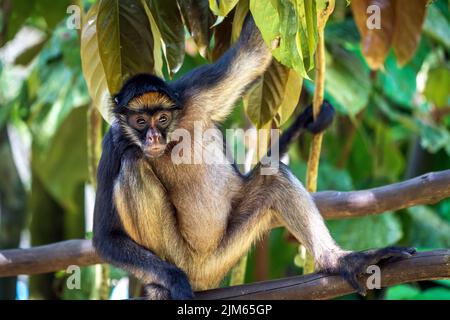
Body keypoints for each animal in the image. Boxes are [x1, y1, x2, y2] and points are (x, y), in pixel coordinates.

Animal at [93, 15, 416, 300]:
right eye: (139, 122)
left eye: (161, 119)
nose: (153, 138)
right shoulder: (113, 141)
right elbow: (105, 238)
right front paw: (173, 281)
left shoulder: (191, 92)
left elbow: (254, 53)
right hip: (180, 255)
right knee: (133, 164)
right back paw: (162, 284)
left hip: (224, 254)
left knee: (275, 177)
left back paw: (340, 261)